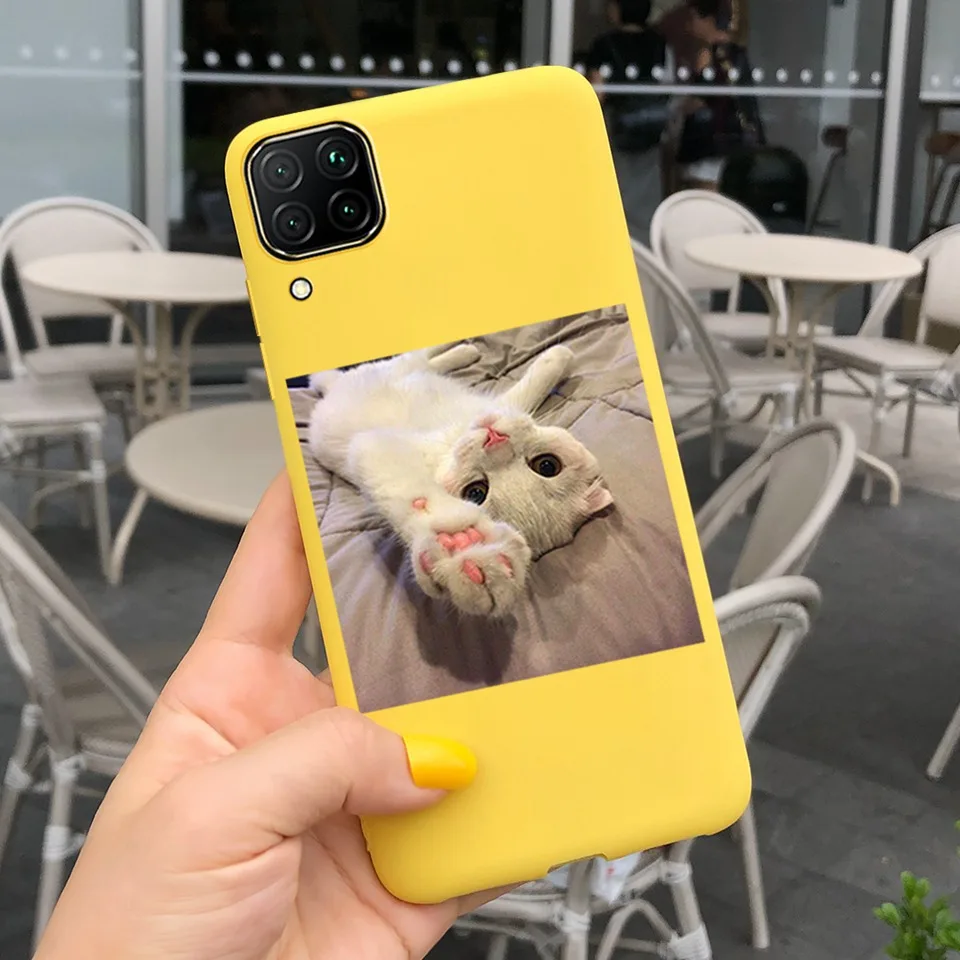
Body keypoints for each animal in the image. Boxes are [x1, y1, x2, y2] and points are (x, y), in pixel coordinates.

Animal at [307, 342, 613, 617]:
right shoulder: (503, 407)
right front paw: (558, 354)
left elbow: (413, 496)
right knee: (416, 358)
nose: (495, 439)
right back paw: (467, 351)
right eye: (547, 465)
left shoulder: (372, 447)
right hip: (391, 371)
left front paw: (462, 550)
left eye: (475, 493)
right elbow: (538, 382)